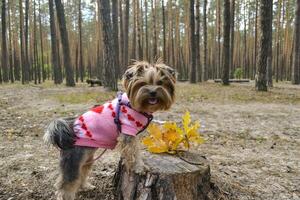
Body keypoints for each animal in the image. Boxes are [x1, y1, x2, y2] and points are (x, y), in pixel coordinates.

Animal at [44, 60, 176, 199]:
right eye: (143, 83)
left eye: (160, 83)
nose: (153, 92)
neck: (134, 106)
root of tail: (67, 129)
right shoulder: (128, 132)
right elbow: (134, 153)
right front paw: (139, 167)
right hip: (74, 159)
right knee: (66, 184)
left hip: (87, 157)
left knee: (82, 172)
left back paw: (86, 186)